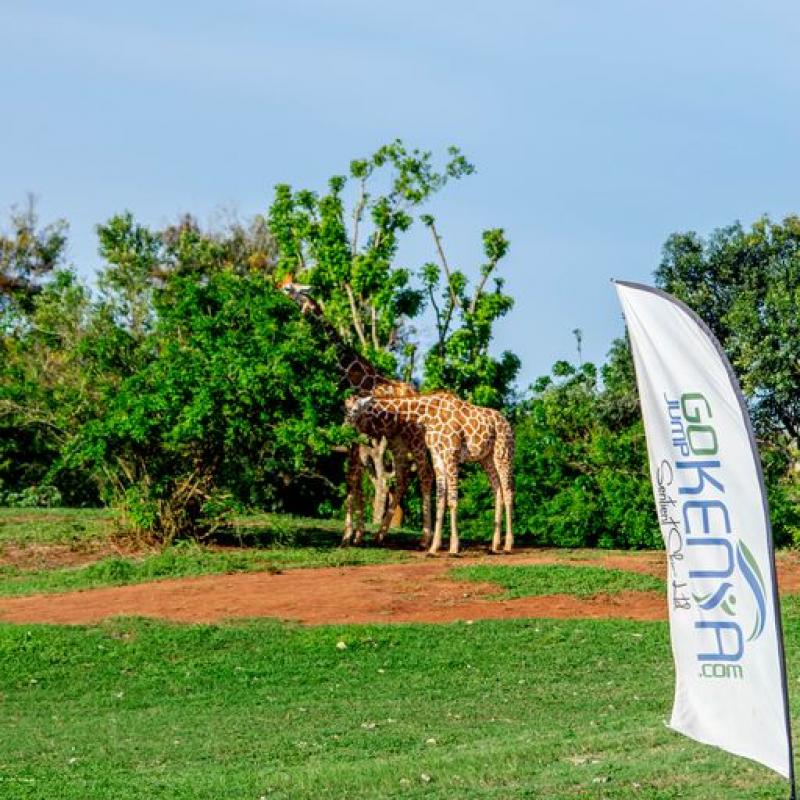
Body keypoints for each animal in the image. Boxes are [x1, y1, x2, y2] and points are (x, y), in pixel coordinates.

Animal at [280, 278, 432, 547]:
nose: (281, 287)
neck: (352, 376)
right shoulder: (354, 433)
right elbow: (356, 479)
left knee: (423, 475)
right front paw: (358, 534)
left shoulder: (357, 432)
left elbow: (352, 479)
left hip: (412, 440)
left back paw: (424, 539)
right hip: (396, 440)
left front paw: (347, 535)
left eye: (295, 288)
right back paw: (381, 534)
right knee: (404, 477)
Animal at [346, 392, 514, 555]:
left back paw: (507, 545)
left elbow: (452, 500)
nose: (347, 429)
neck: (428, 414)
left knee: (508, 492)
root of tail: (507, 423)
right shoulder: (437, 455)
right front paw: (433, 548)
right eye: (344, 408)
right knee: (497, 490)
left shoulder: (450, 454)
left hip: (503, 453)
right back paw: (495, 544)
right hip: (486, 458)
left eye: (355, 410)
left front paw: (454, 548)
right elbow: (440, 499)